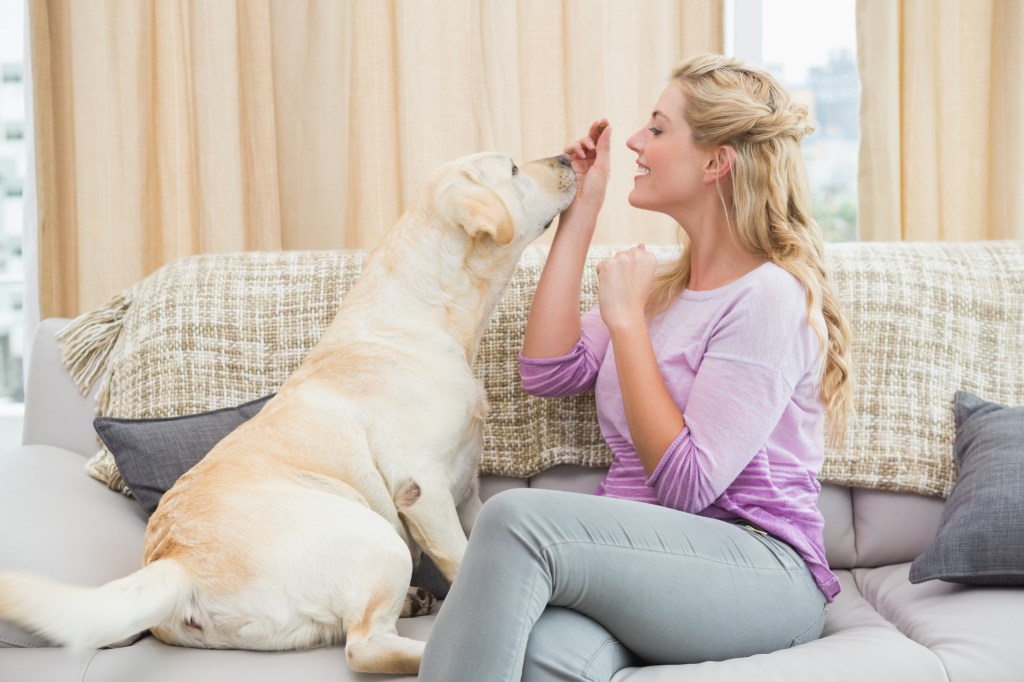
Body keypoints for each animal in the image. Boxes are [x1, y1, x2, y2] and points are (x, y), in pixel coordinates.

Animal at [0, 151, 577, 671]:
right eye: (514, 169)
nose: (569, 159)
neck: (428, 314)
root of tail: (177, 562)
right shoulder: (423, 488)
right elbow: (461, 558)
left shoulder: (466, 493)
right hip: (375, 535)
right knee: (365, 647)